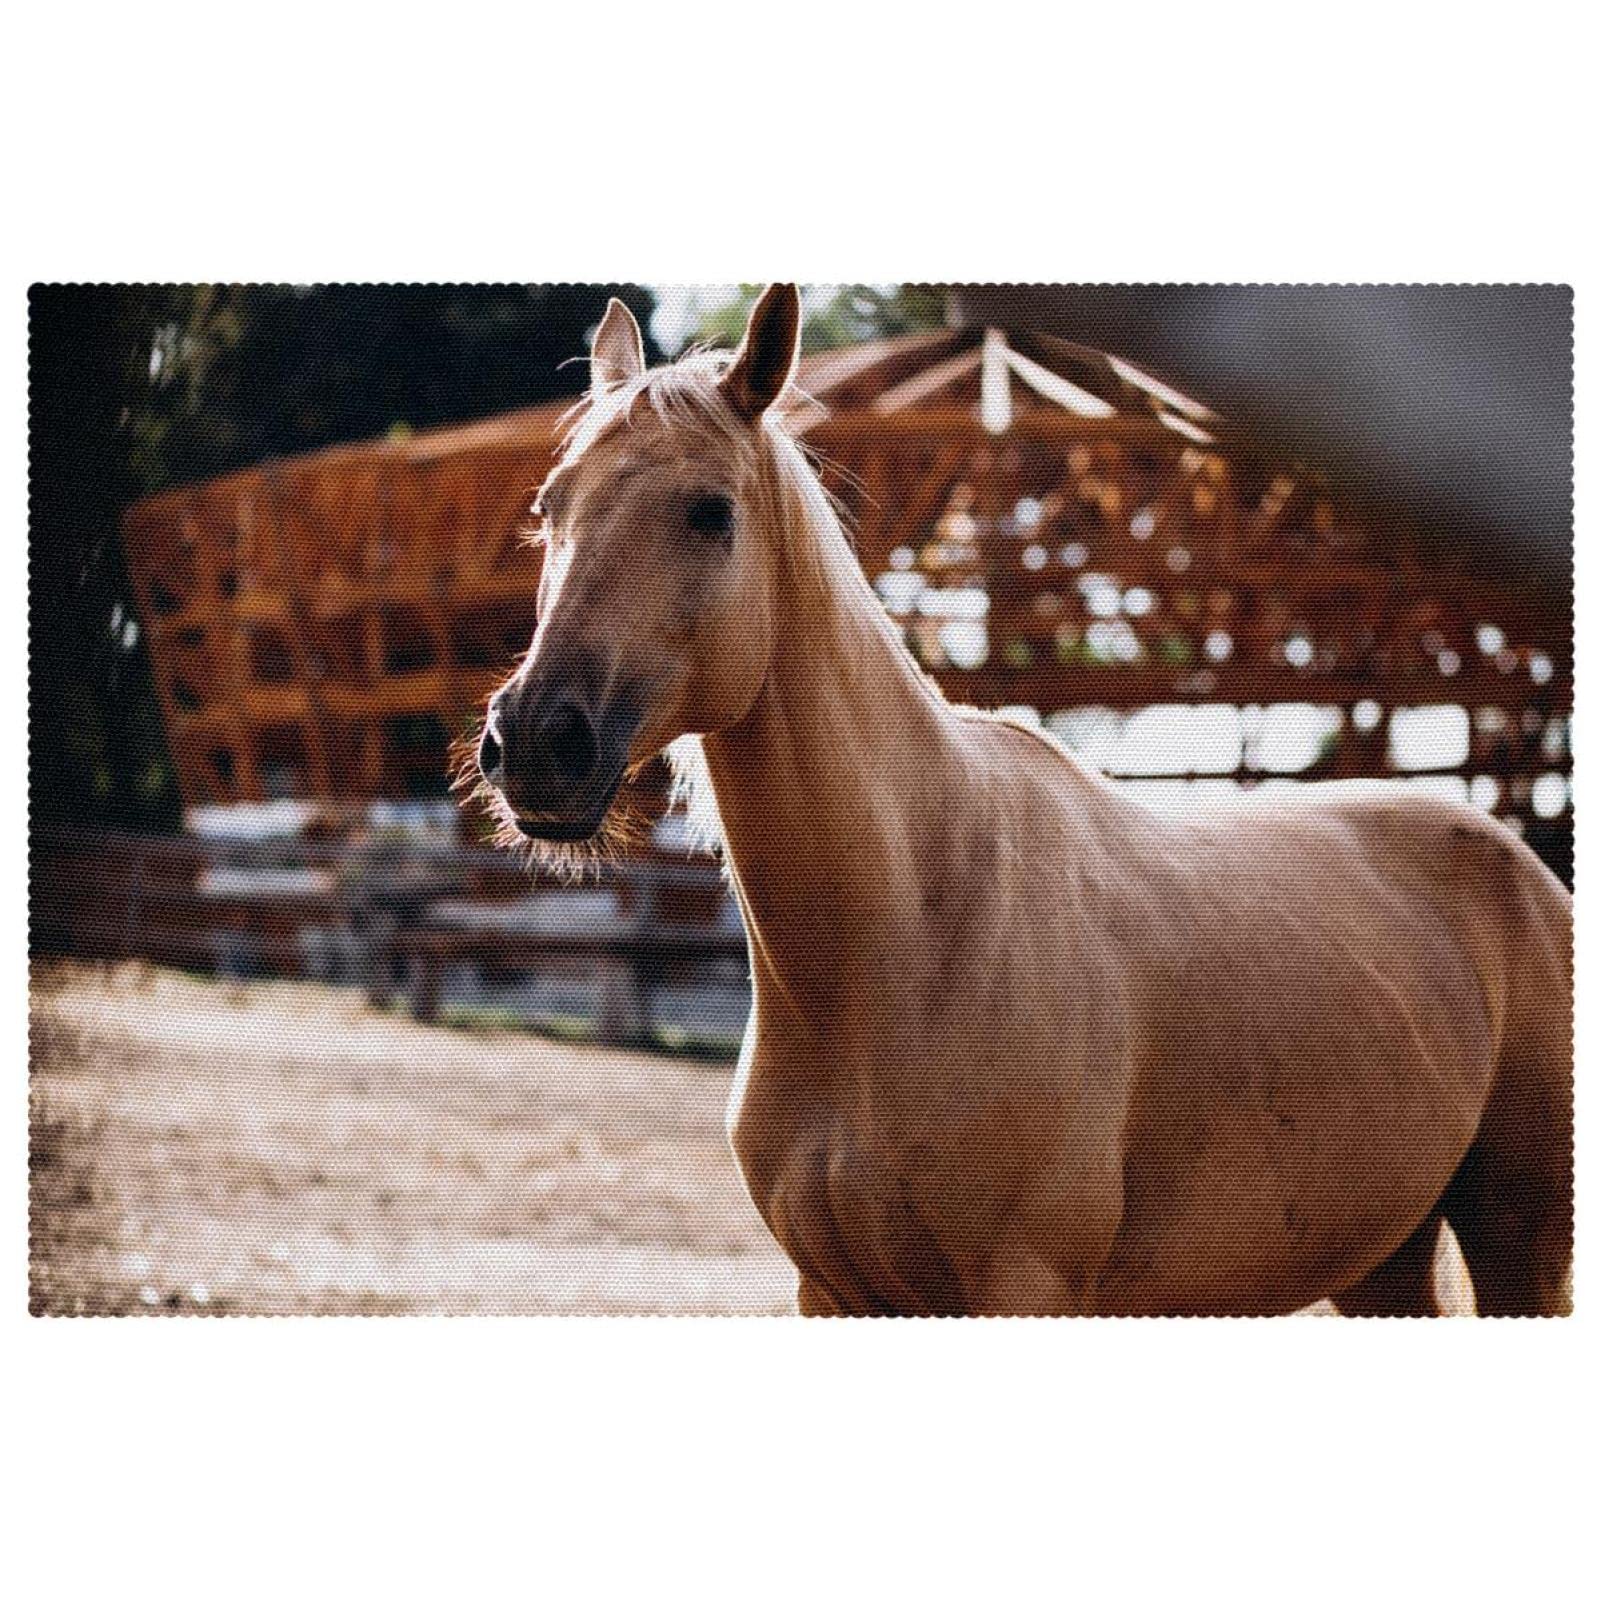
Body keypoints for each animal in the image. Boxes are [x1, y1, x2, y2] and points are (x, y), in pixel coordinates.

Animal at [474, 284, 1573, 1316]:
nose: (533, 741)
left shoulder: (1025, 1281)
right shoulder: (829, 1291)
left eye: (709, 510)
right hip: (1380, 1254)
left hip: (1520, 1244)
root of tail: (1523, 872)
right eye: (549, 506)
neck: (907, 933)